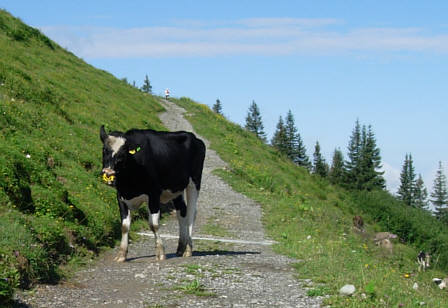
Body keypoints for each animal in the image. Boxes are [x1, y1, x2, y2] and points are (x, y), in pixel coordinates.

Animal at [99, 125, 206, 262]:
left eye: (123, 154)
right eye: (104, 150)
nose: (108, 173)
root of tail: (193, 137)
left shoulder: (154, 194)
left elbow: (153, 224)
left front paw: (160, 252)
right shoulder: (121, 196)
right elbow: (124, 226)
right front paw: (121, 254)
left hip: (194, 182)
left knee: (192, 213)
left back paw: (188, 249)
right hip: (176, 189)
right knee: (182, 211)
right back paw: (181, 247)